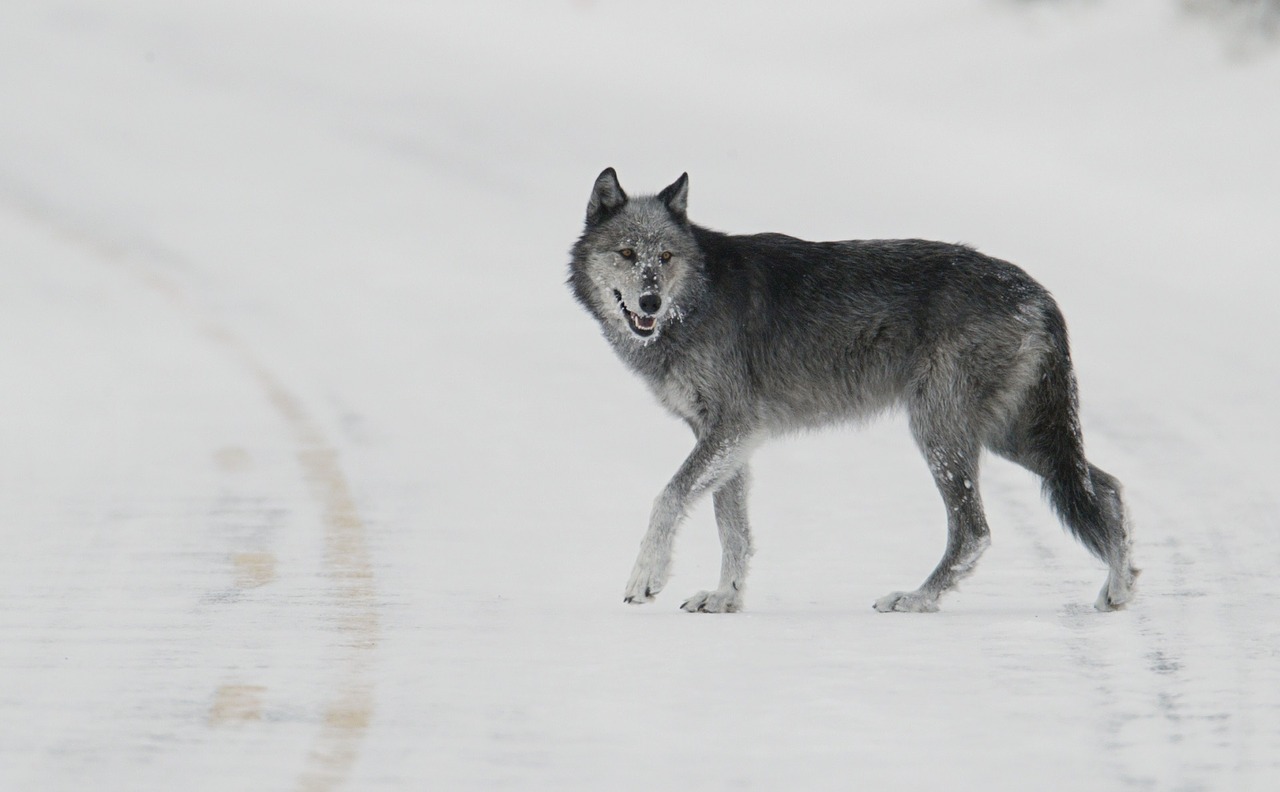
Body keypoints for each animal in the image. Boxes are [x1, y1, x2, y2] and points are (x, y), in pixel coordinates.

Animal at [570, 166, 1141, 614]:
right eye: (627, 253)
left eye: (665, 257)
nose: (649, 302)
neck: (697, 298)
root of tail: (1037, 292)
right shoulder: (727, 437)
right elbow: (732, 527)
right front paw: (725, 598)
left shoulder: (732, 427)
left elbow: (668, 497)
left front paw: (646, 578)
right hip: (1012, 437)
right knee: (1108, 486)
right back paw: (1118, 589)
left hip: (943, 433)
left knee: (975, 531)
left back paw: (916, 599)